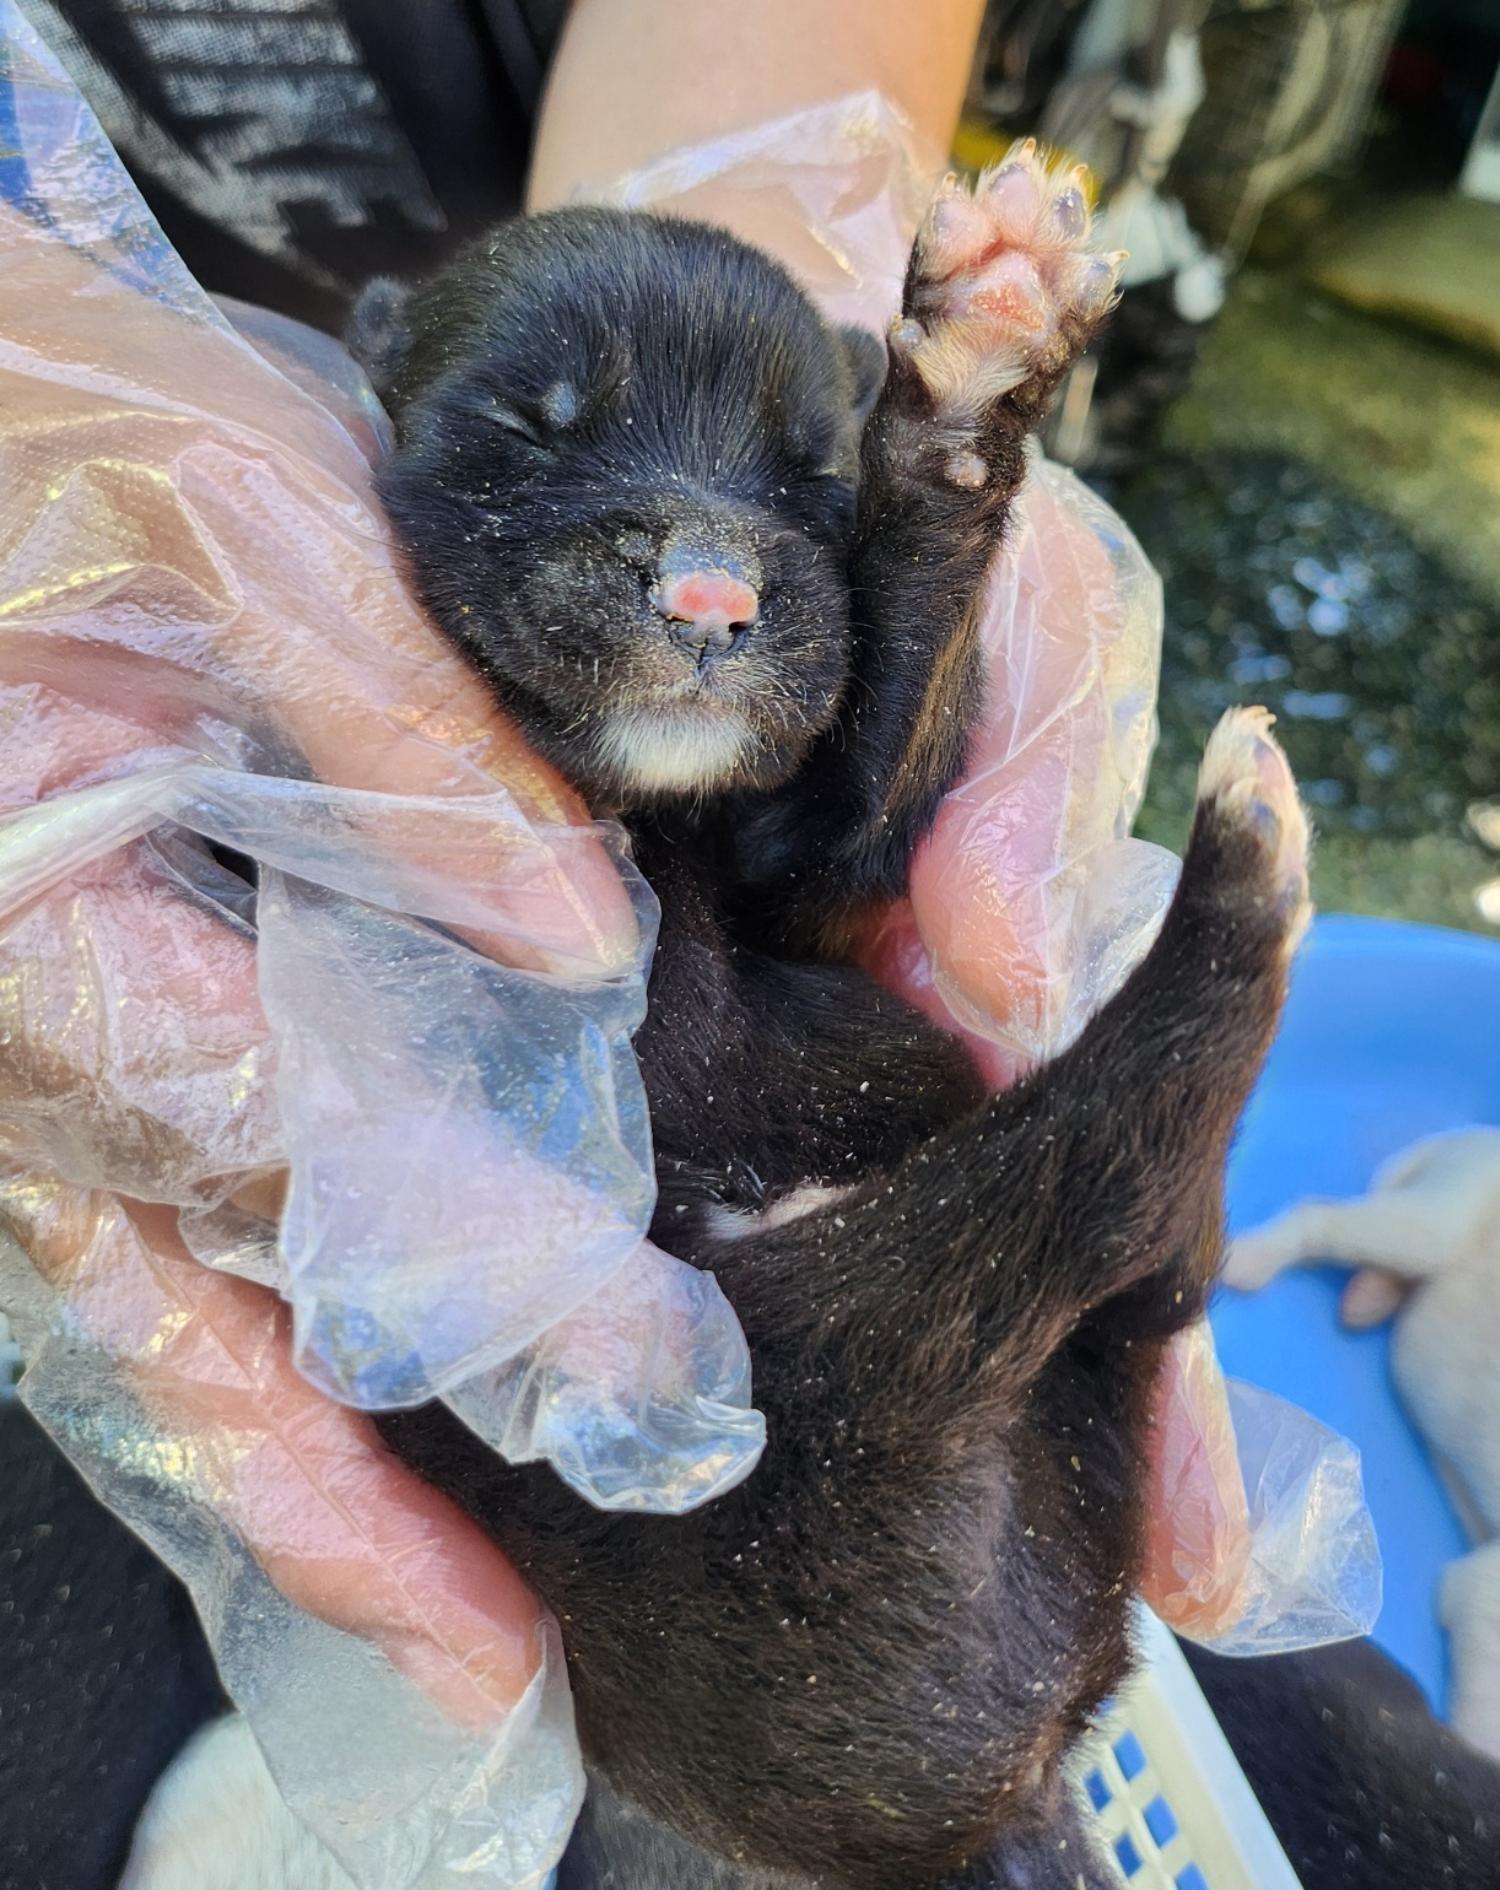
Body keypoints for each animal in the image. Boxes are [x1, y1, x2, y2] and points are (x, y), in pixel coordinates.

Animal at [351, 151, 1307, 1890]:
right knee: (1102, 1171)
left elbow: (883, 752)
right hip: (820, 1401)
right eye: (522, 425)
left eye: (809, 474)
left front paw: (978, 359)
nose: (713, 589)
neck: (661, 821)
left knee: (1137, 1226)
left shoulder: (817, 845)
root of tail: (1038, 1748)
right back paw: (1238, 868)